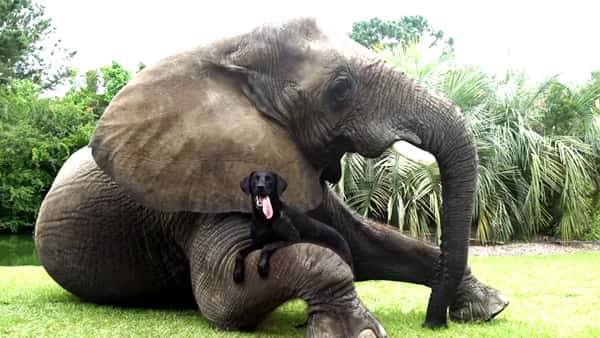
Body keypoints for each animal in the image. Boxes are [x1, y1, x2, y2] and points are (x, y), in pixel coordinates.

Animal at [35, 17, 508, 336]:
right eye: (341, 88)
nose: (435, 321)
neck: (231, 54)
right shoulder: (200, 189)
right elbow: (223, 298)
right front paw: (361, 332)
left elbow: (371, 244)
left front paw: (491, 308)